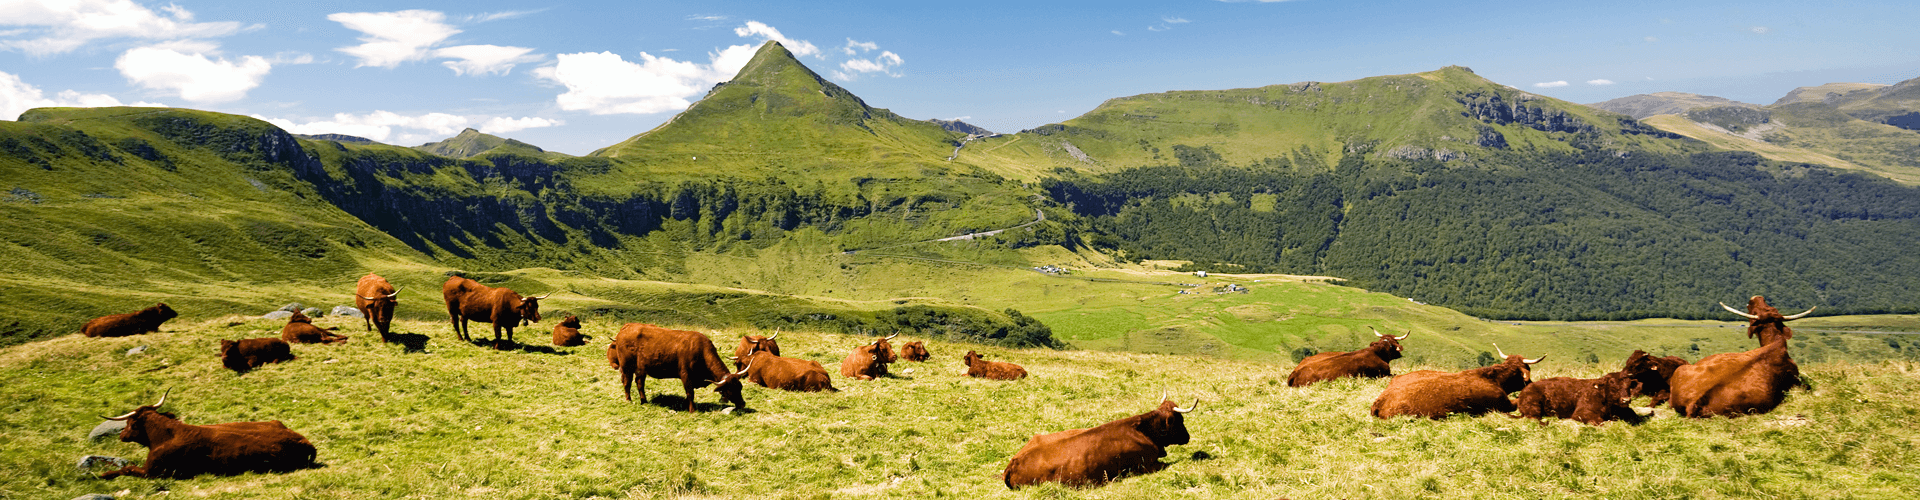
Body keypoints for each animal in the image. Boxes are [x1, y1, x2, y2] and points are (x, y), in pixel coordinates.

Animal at [94, 390, 316, 480]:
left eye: (130, 423)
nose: (122, 435)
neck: (166, 435)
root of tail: (305, 441)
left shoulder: (153, 471)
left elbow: (127, 469)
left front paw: (103, 474)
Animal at [602, 323, 744, 411]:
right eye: (731, 389)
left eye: (740, 387)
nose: (743, 404)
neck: (701, 350)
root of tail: (628, 327)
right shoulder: (686, 375)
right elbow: (690, 393)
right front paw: (692, 410)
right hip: (627, 367)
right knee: (627, 383)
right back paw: (629, 400)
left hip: (641, 369)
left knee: (639, 383)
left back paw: (644, 401)